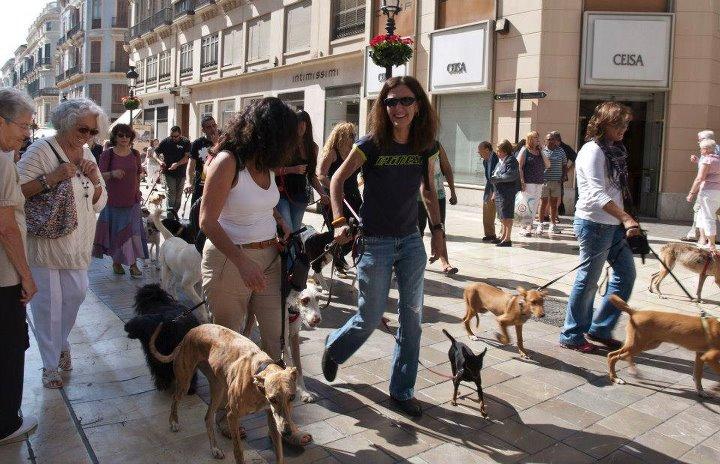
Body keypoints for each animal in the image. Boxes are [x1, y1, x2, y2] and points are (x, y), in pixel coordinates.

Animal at [150, 324, 308, 462]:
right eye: (273, 399)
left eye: (292, 397)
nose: (287, 432)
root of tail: (190, 333)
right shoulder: (232, 415)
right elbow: (238, 452)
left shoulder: (272, 418)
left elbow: (279, 453)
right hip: (185, 382)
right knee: (175, 398)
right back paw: (174, 421)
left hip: (218, 389)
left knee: (208, 417)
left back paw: (215, 449)